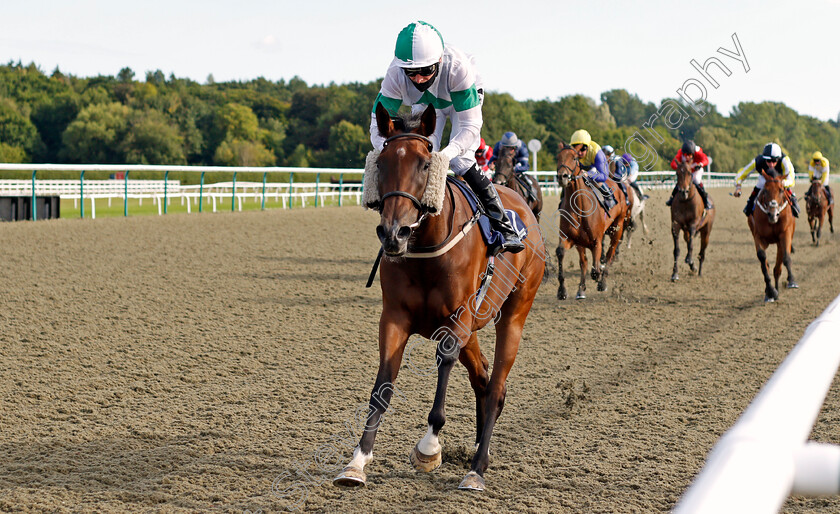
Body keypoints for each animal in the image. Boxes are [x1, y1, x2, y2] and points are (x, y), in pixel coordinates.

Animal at [334, 102, 544, 490]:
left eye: (424, 164)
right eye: (382, 163)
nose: (394, 233)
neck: (426, 247)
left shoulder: (457, 317)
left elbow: (444, 361)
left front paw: (429, 446)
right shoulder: (395, 318)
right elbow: (382, 386)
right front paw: (357, 461)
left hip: (514, 313)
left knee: (496, 388)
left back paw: (476, 468)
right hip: (476, 325)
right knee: (483, 378)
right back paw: (479, 452)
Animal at [556, 142, 628, 298]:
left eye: (574, 158)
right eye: (558, 157)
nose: (562, 176)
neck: (579, 208)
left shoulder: (596, 241)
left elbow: (596, 268)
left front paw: (599, 275)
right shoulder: (570, 238)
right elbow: (562, 253)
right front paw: (562, 290)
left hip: (617, 228)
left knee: (610, 254)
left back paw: (603, 282)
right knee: (584, 262)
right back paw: (581, 289)